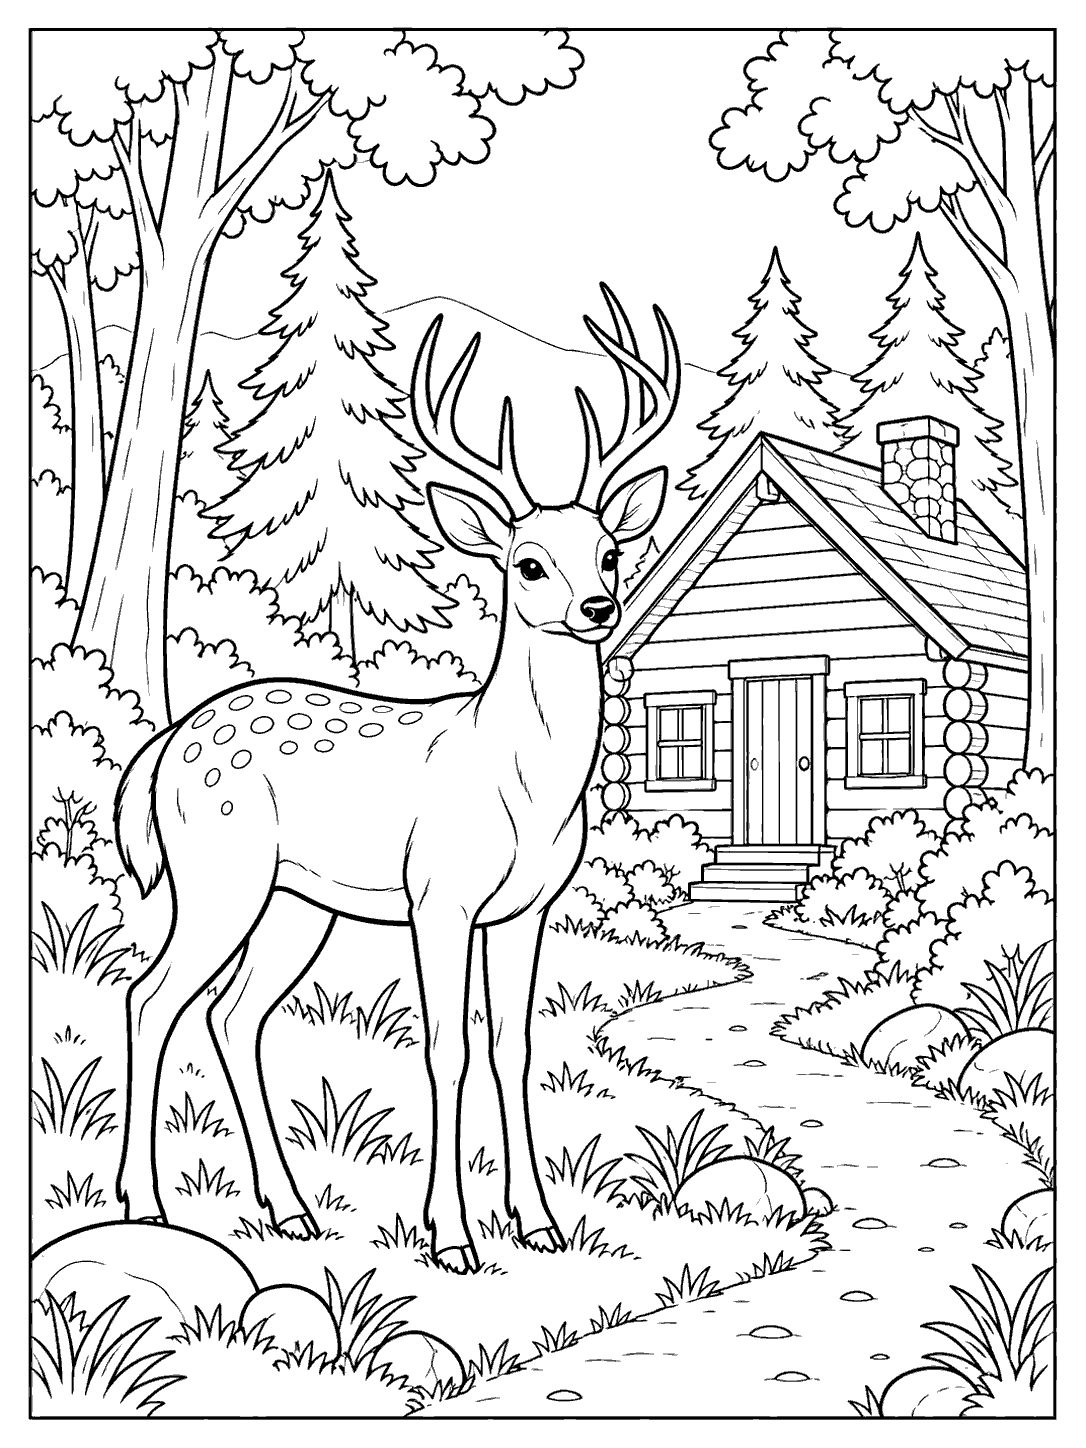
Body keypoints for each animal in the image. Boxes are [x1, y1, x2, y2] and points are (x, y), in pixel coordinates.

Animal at [113, 284, 680, 1272]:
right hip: (217, 872)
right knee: (153, 999)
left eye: (610, 550)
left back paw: (290, 1209)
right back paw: (147, 1205)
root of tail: (168, 745)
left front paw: (539, 1223)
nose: (599, 607)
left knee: (234, 1015)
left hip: (296, 903)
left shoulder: (527, 906)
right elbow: (446, 1047)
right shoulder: (438, 894)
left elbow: (512, 1044)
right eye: (528, 563)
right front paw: (451, 1236)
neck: (522, 788)